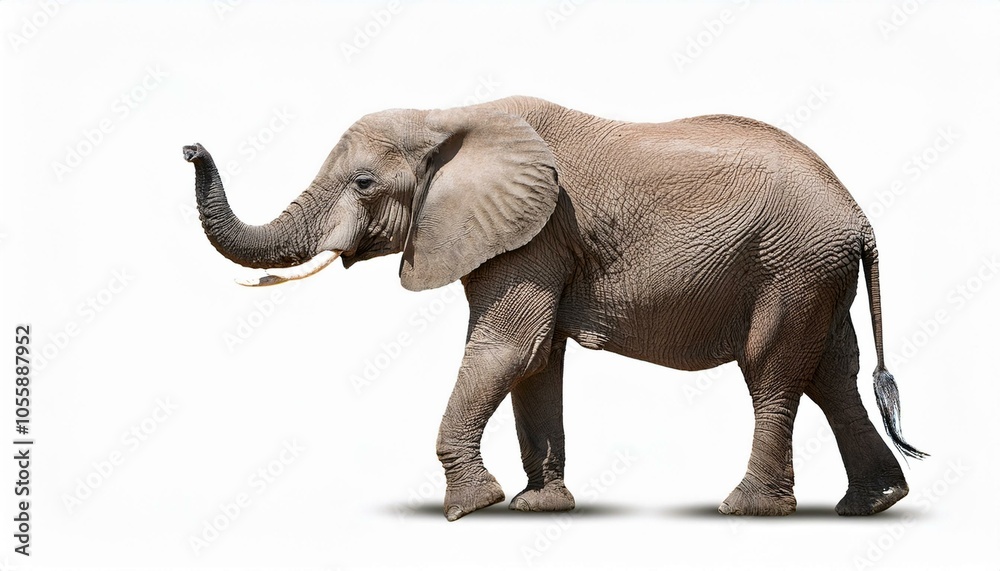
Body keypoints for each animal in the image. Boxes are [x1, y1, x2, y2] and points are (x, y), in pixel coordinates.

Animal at [183, 95, 927, 521]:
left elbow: (507, 347)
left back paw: (747, 510)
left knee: (772, 370)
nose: (189, 146)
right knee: (831, 375)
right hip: (817, 272)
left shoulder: (535, 233)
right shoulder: (527, 238)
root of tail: (860, 216)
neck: (448, 115)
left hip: (791, 266)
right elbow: (537, 360)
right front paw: (538, 506)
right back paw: (873, 504)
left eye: (364, 183)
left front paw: (471, 508)